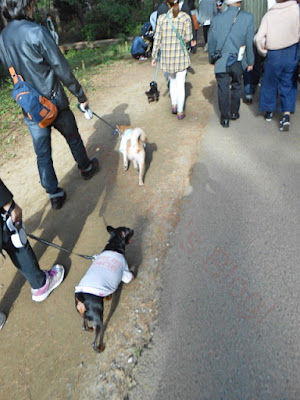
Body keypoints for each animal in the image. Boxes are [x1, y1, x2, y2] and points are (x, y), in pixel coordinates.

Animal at [75, 225, 135, 354]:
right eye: (129, 230)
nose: (133, 230)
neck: (113, 244)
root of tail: (79, 297)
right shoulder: (125, 272)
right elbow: (131, 275)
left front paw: (108, 297)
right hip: (98, 320)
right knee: (93, 343)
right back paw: (100, 348)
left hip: (86, 316)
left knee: (84, 326)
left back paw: (89, 328)